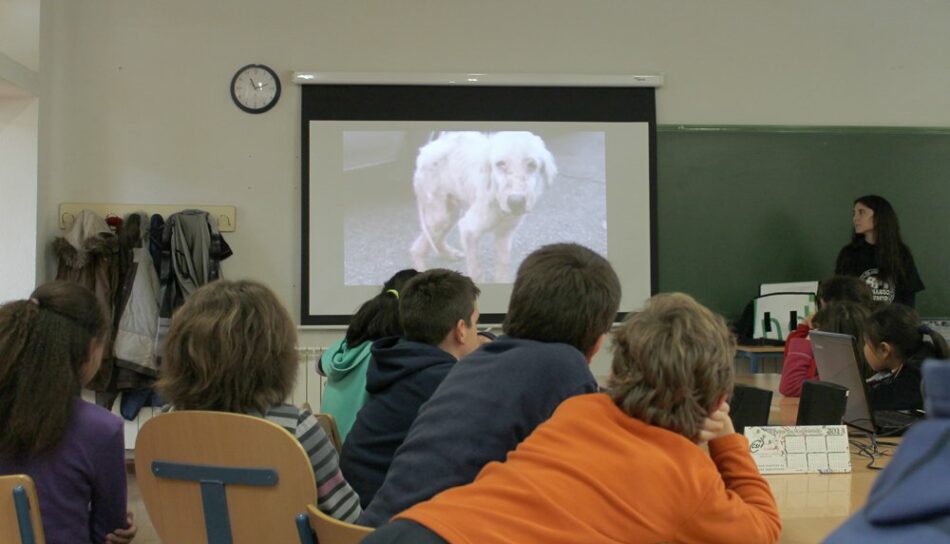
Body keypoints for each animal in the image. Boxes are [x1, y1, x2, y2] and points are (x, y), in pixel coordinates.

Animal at [410, 132, 556, 282]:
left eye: (532, 165)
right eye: (500, 164)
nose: (516, 202)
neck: (496, 197)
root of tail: (427, 148)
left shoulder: (505, 234)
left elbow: (502, 265)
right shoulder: (468, 229)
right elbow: (476, 271)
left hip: (451, 213)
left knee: (434, 239)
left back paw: (449, 254)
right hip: (440, 216)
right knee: (416, 248)